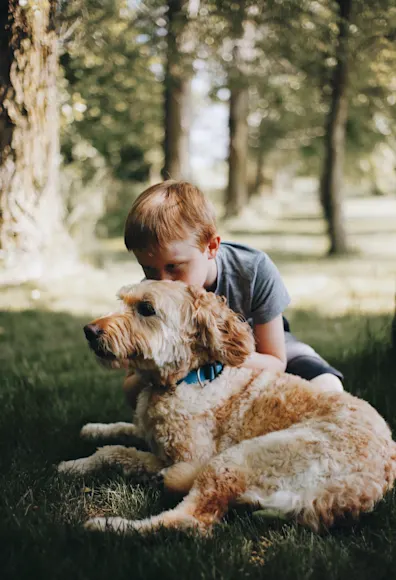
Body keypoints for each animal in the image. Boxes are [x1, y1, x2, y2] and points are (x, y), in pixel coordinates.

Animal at [58, 280, 396, 536]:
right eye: (124, 301)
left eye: (146, 309)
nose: (89, 330)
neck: (188, 377)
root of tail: (364, 487)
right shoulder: (149, 433)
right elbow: (120, 435)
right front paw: (92, 434)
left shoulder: (189, 456)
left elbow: (119, 452)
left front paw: (76, 464)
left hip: (234, 460)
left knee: (191, 522)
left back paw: (110, 526)